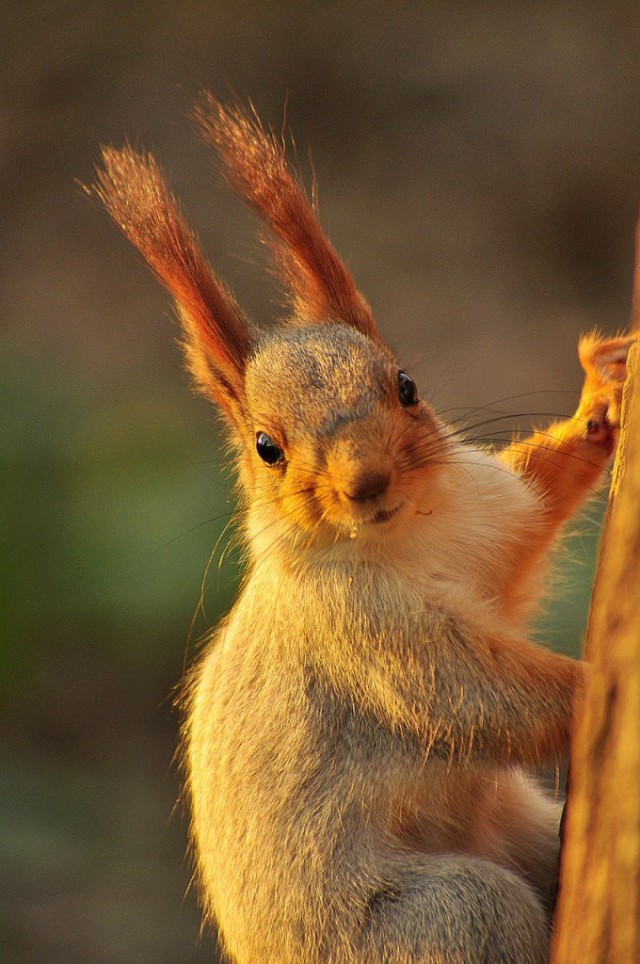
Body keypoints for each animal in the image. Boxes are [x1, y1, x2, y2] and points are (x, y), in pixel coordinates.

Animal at [94, 100, 636, 964]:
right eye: (266, 447)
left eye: (406, 386)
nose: (366, 482)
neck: (412, 535)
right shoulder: (366, 634)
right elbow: (484, 698)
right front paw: (605, 684)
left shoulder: (488, 515)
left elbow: (533, 518)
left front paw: (602, 396)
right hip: (448, 915)